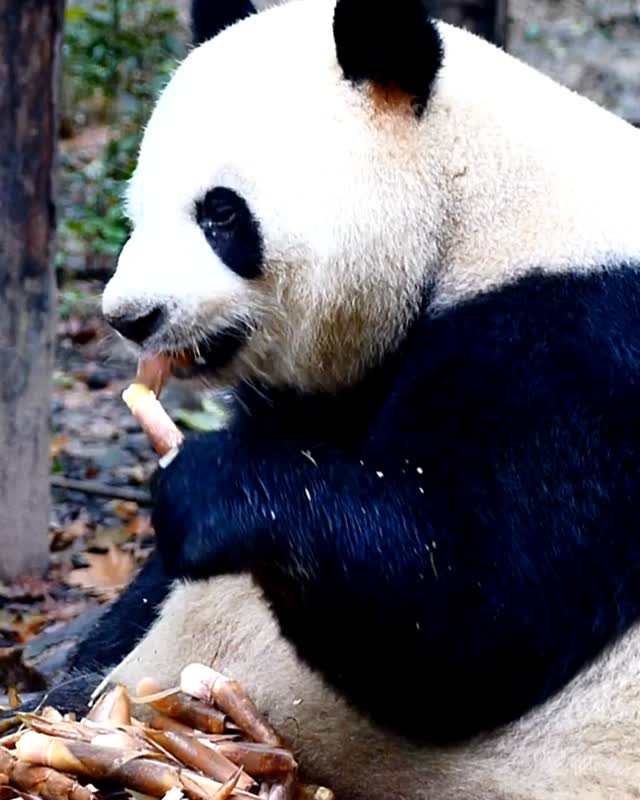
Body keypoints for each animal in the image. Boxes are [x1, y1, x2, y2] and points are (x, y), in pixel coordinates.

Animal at [40, 0, 640, 797]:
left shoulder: (581, 340)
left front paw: (209, 487)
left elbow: (475, 616)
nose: (130, 317)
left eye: (221, 214)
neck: (470, 191)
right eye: (137, 212)